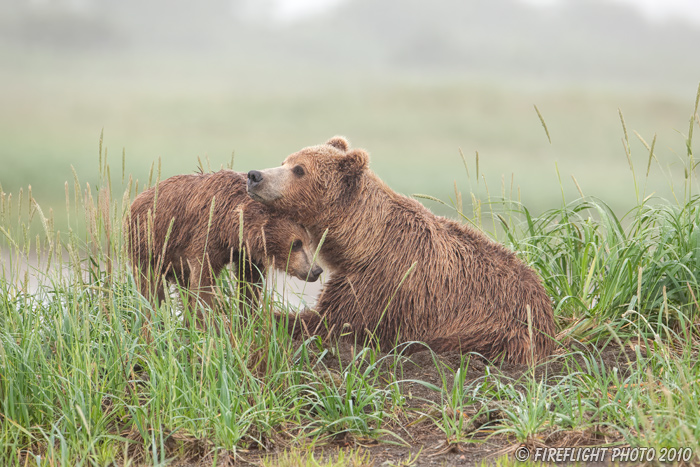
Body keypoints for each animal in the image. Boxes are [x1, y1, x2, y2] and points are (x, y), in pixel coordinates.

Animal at [126, 171, 322, 322]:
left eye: (309, 242)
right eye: (296, 243)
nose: (316, 270)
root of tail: (135, 200)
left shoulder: (246, 253)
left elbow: (250, 284)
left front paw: (247, 317)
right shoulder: (206, 236)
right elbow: (203, 283)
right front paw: (209, 323)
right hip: (149, 244)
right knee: (150, 287)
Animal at [246, 137, 556, 364]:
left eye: (300, 169)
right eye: (285, 161)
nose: (254, 175)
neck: (359, 241)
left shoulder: (383, 281)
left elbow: (332, 322)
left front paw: (267, 317)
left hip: (495, 327)